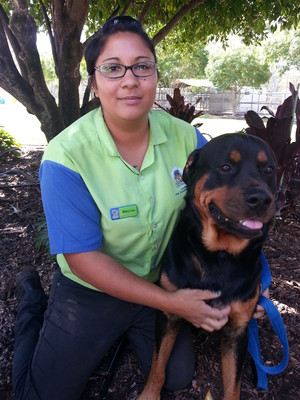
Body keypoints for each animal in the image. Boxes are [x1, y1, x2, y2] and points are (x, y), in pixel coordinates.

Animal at [138, 133, 278, 398]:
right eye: (225, 167)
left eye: (268, 170)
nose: (262, 199)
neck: (218, 257)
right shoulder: (168, 313)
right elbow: (157, 364)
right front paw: (149, 394)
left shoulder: (238, 329)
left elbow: (233, 385)